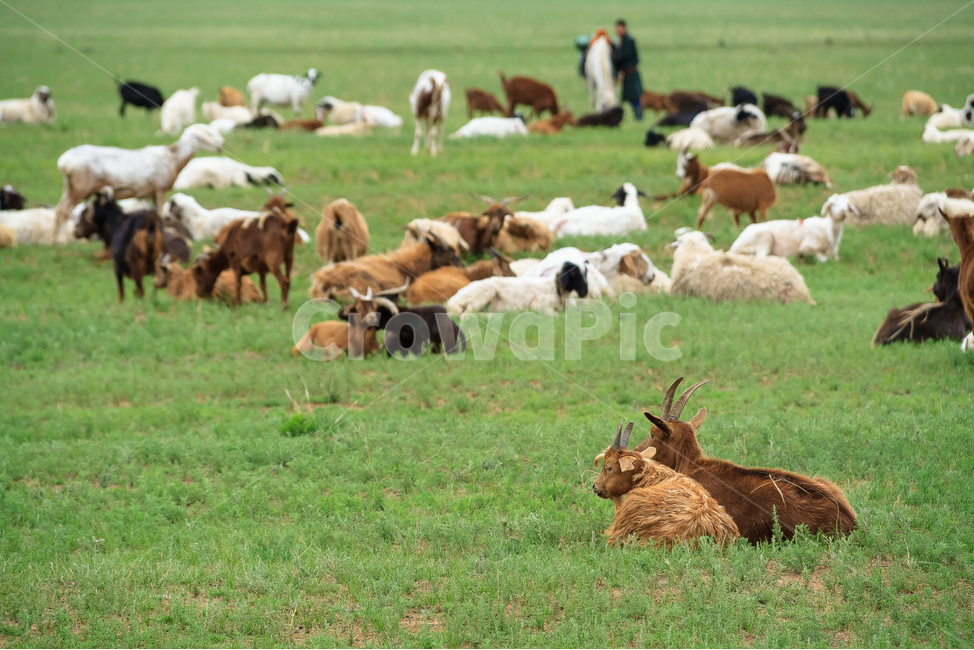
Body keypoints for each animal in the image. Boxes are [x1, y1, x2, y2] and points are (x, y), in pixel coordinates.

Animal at [54, 123, 224, 241]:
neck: (173, 158)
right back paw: (63, 241)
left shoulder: (151, 194)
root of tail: (64, 162)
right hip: (80, 188)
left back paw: (55, 241)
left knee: (58, 210)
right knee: (64, 212)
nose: (222, 144)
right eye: (208, 133)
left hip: (69, 186)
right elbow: (160, 216)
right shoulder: (159, 189)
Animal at [445, 261, 589, 317]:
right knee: (467, 315)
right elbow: (556, 315)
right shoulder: (539, 305)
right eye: (573, 273)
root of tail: (451, 300)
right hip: (485, 291)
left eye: (586, 272)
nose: (584, 292)